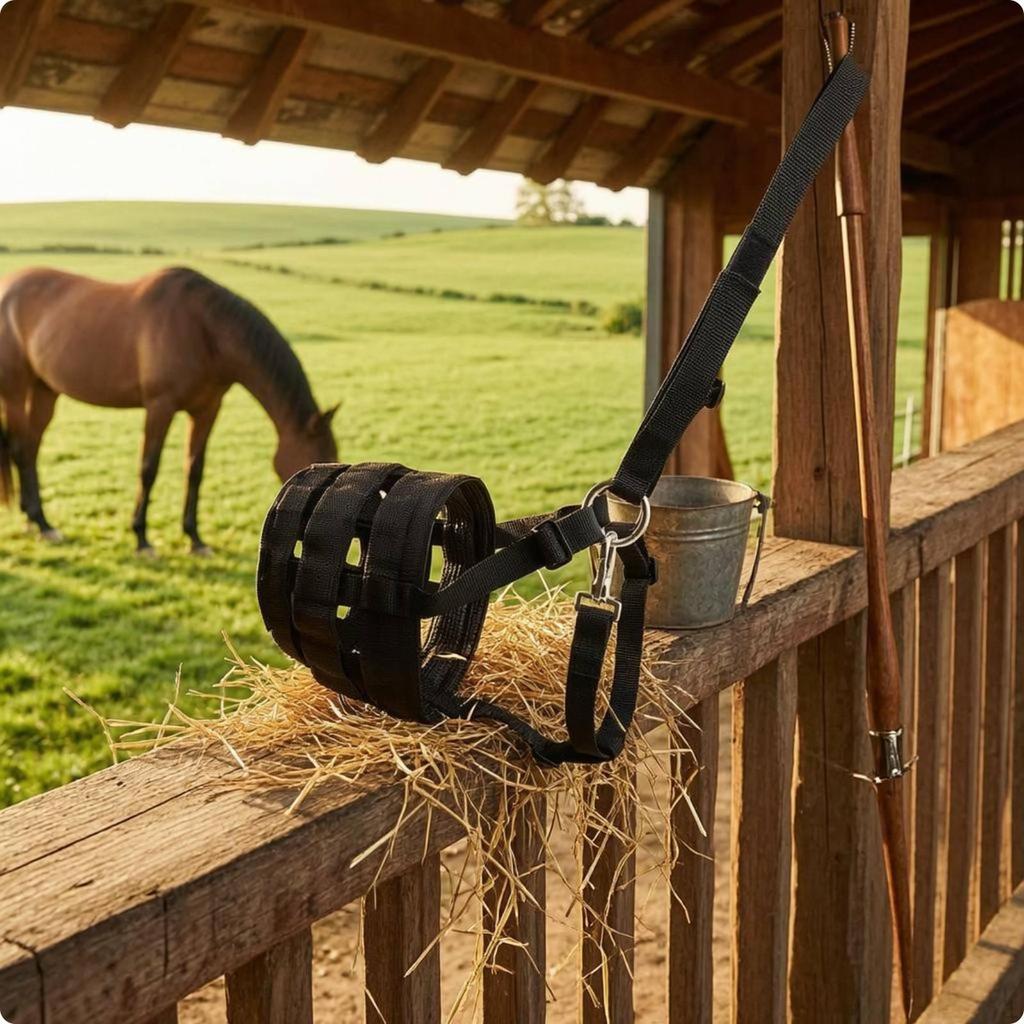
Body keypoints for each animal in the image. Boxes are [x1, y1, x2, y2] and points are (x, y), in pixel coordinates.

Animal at [0, 265, 338, 554]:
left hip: (45, 389)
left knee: (30, 448)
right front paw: (142, 539)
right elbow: (149, 468)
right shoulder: (159, 407)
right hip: (15, 392)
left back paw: (37, 521)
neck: (203, 329)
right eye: (315, 466)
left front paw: (195, 539)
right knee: (19, 448)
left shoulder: (207, 410)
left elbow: (195, 469)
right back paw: (41, 522)